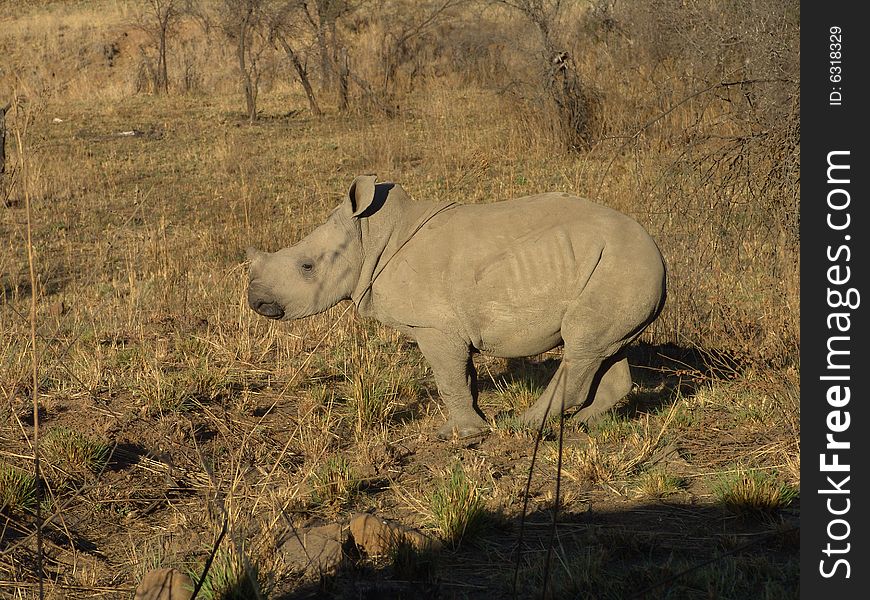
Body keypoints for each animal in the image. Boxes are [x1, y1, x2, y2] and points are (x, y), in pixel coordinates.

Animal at [245, 176, 668, 438]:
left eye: (306, 267)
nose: (257, 302)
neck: (371, 237)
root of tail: (659, 253)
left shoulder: (433, 325)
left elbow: (447, 378)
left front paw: (462, 436)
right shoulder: (447, 325)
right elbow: (463, 376)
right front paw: (470, 427)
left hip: (621, 265)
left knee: (581, 345)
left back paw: (524, 427)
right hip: (616, 268)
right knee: (603, 347)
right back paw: (584, 425)